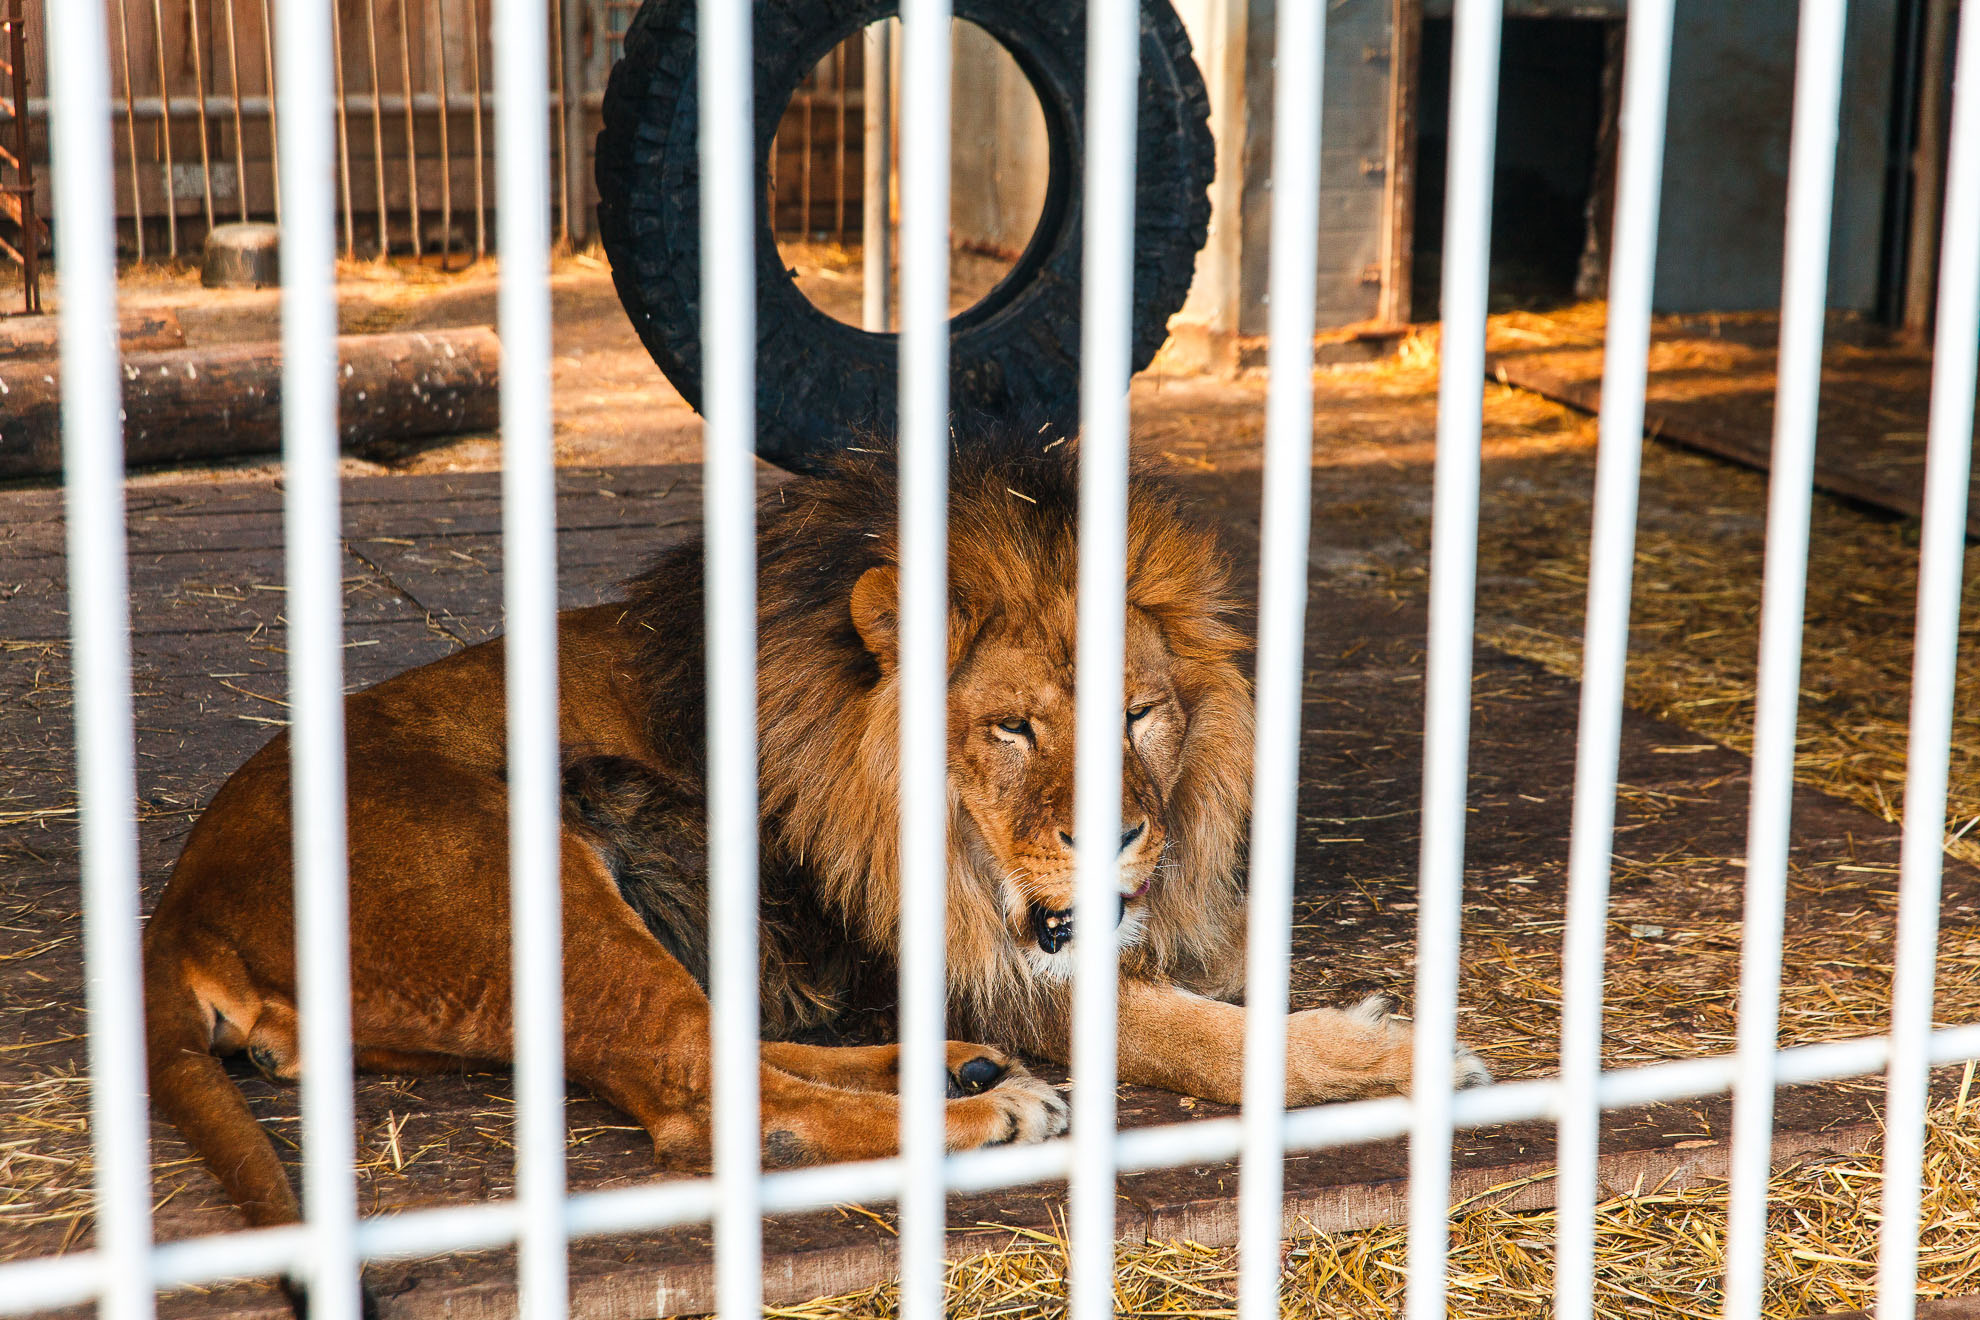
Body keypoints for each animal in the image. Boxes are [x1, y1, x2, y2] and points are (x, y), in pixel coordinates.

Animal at [143, 431, 1488, 1258]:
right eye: (1013, 727)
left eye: (1138, 714)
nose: (1115, 834)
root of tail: (179, 902)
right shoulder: (959, 955)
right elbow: (1192, 1031)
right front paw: (1389, 1059)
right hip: (528, 871)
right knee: (699, 1095)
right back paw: (987, 1115)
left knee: (714, 1050)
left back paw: (967, 1073)